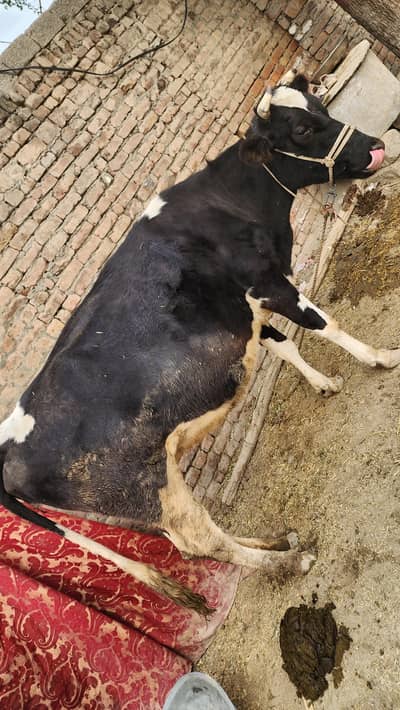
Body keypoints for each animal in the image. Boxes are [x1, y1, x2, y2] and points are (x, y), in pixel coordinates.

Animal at [1, 71, 398, 616]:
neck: (233, 203)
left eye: (321, 105)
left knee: (195, 539)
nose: (377, 146)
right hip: (150, 492)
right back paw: (288, 561)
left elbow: (286, 346)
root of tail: (5, 448)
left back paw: (275, 541)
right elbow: (324, 324)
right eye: (300, 128)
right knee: (201, 542)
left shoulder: (245, 311)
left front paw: (324, 383)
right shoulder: (268, 284)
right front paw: (381, 358)